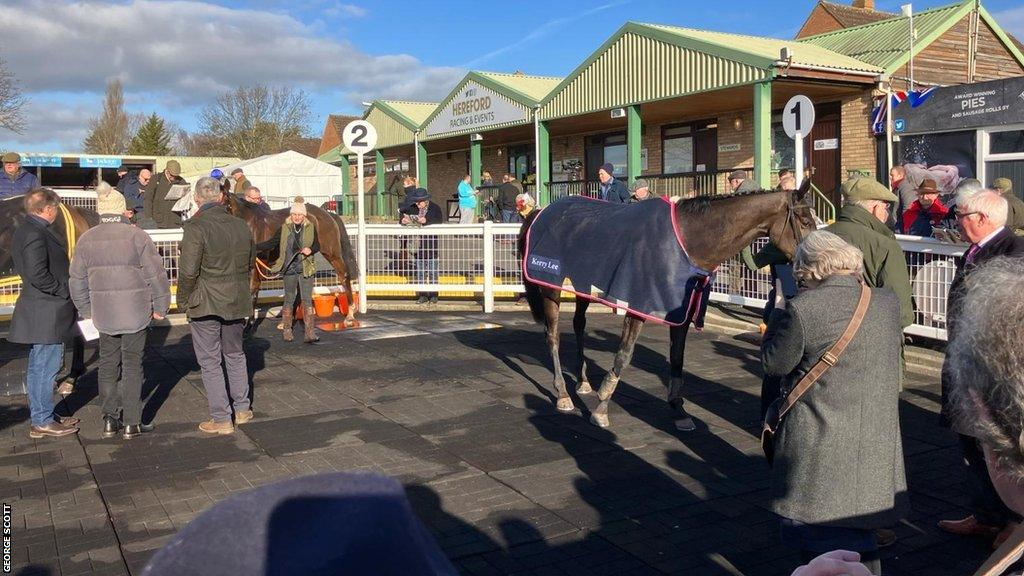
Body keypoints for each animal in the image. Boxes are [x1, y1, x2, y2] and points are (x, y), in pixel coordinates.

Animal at [226, 194, 362, 325]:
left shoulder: (257, 265)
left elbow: (252, 289)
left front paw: (248, 325)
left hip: (331, 252)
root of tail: (328, 214)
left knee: (343, 275)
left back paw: (350, 315)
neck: (249, 223)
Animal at [520, 182, 815, 426]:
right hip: (550, 286)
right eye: (804, 220)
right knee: (553, 336)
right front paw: (602, 407)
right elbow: (624, 355)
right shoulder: (638, 304)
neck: (686, 241)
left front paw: (678, 409)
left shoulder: (682, 310)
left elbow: (677, 357)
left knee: (579, 325)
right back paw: (562, 394)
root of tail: (541, 212)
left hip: (581, 283)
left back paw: (582, 382)